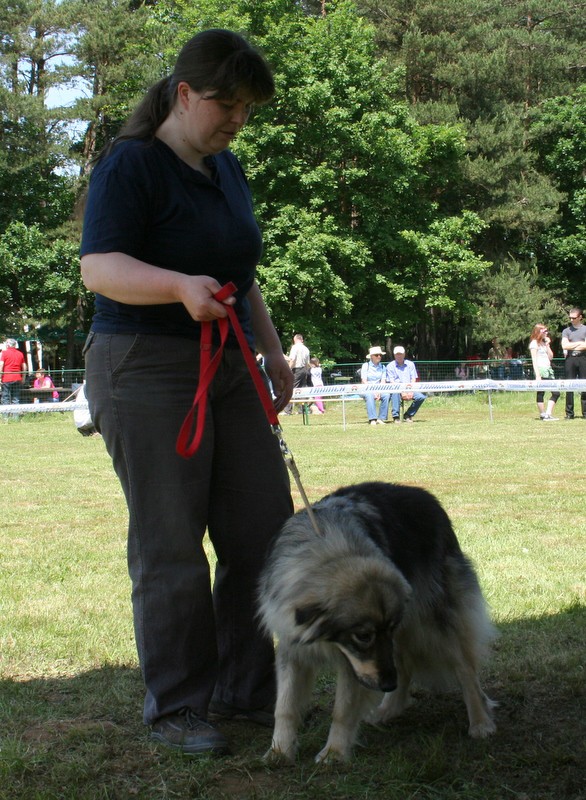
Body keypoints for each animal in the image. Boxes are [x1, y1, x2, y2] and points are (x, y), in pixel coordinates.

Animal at [258, 482, 496, 764]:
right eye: (363, 636)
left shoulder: (356, 664)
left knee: (465, 670)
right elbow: (284, 706)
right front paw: (279, 750)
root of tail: (429, 499)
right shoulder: (293, 648)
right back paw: (389, 709)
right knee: (405, 666)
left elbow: (343, 709)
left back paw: (480, 722)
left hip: (434, 624)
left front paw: (334, 752)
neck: (330, 553)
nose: (387, 685)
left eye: (382, 630)